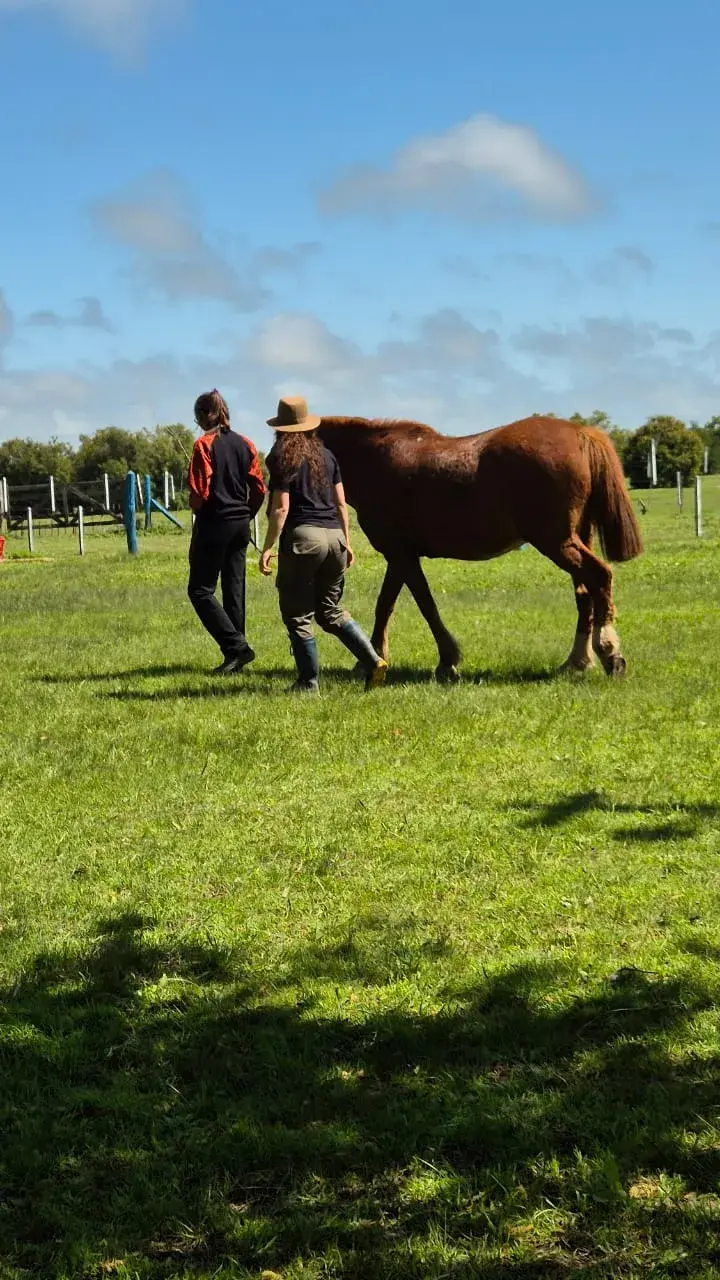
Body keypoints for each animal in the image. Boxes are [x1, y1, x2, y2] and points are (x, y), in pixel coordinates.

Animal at [316, 414, 643, 681]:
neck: (375, 460)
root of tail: (582, 433)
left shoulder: (401, 554)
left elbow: (421, 605)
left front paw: (445, 661)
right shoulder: (400, 556)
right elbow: (388, 605)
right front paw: (373, 660)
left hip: (556, 542)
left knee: (599, 577)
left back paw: (609, 653)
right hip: (575, 540)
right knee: (585, 594)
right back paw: (577, 661)